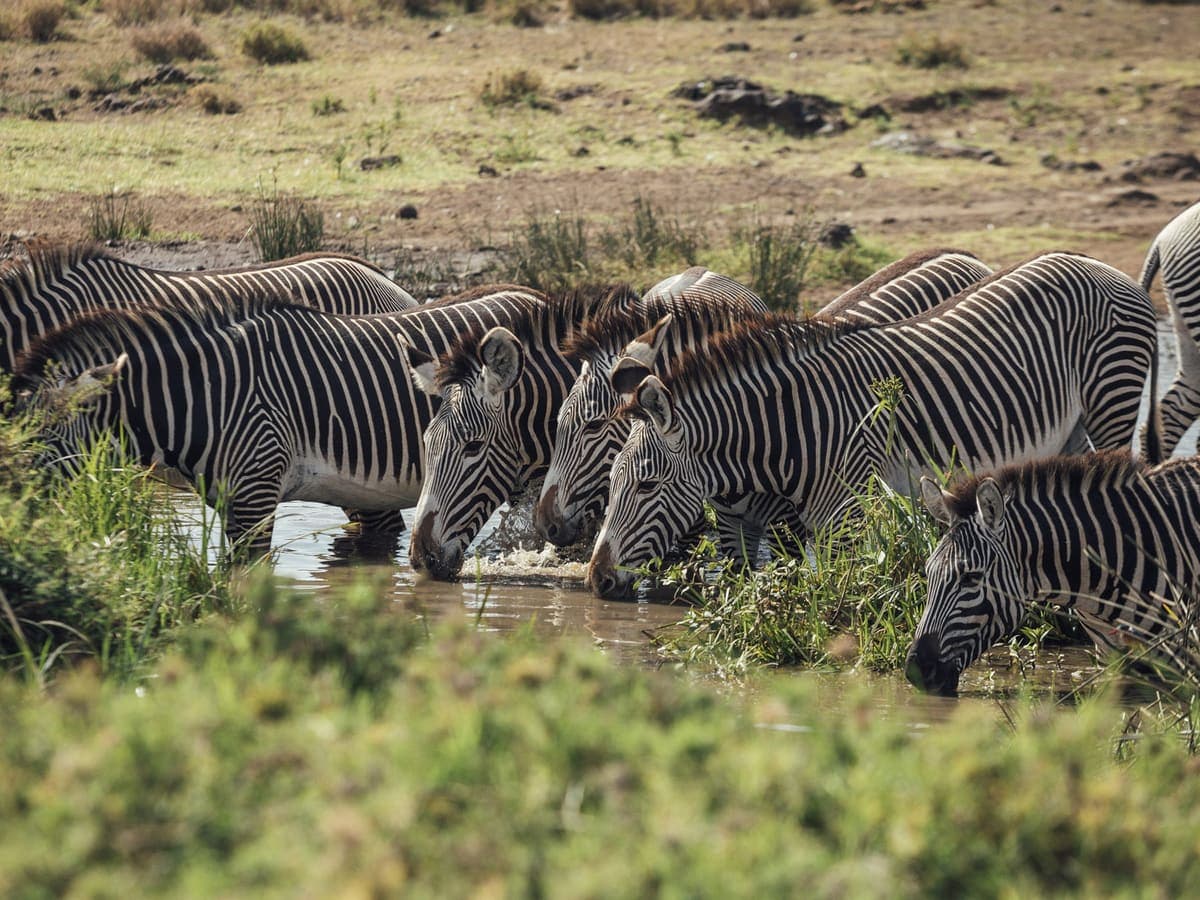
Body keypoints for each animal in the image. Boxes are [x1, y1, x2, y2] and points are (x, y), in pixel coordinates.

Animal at [535, 250, 994, 560]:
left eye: (593, 426)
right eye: (558, 422)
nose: (546, 525)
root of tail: (962, 254)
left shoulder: (787, 524)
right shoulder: (724, 522)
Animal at [587, 252, 1157, 599]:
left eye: (646, 485)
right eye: (612, 481)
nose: (598, 580)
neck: (795, 427)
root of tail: (1098, 263)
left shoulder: (848, 516)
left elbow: (841, 600)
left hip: (1114, 396)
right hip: (1070, 428)